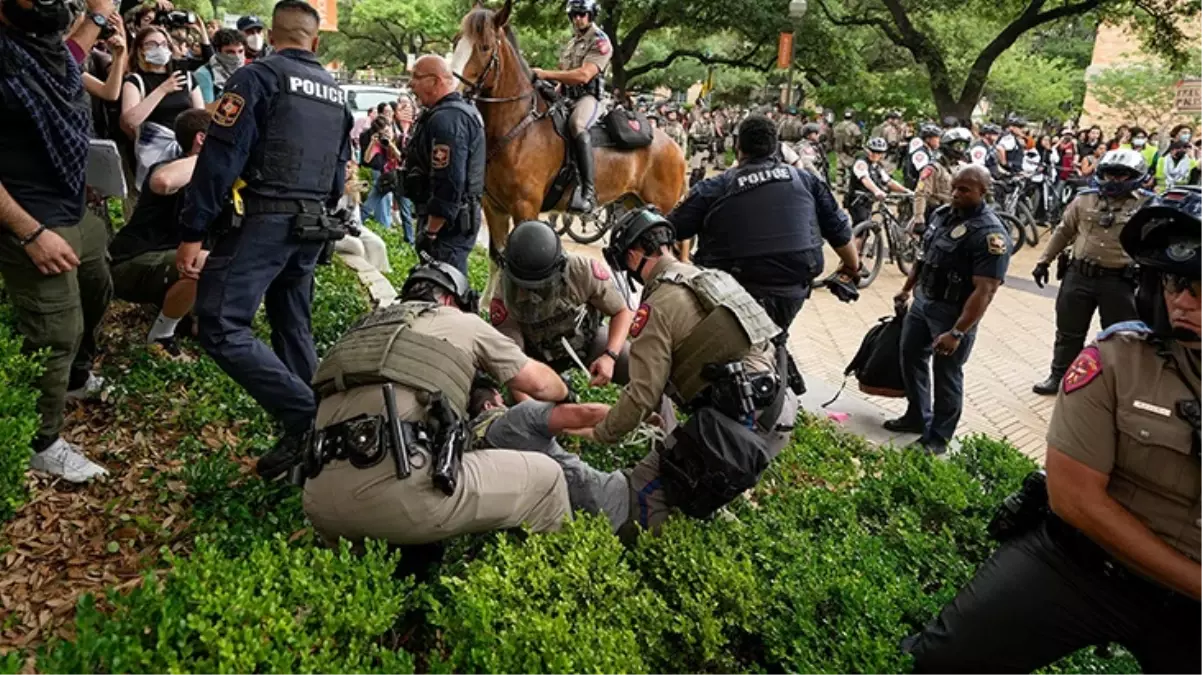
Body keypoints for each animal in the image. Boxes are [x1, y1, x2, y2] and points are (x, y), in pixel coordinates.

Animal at [451, 0, 687, 257]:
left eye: (484, 47)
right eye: (455, 41)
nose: (452, 88)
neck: (518, 128)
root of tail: (676, 148)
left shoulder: (525, 208)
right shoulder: (494, 208)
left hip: (662, 209)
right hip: (633, 202)